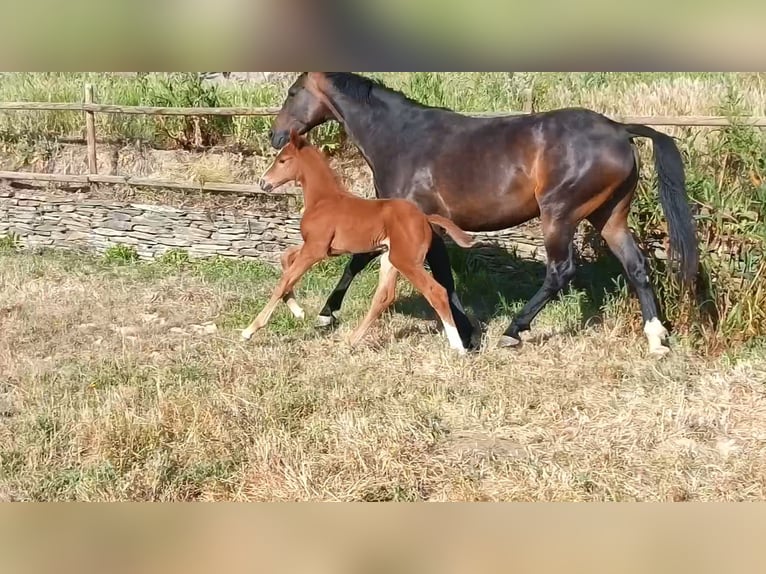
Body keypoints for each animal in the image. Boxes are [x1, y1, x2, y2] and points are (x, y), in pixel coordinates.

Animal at [240, 128, 476, 354]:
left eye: (282, 160)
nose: (263, 182)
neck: (323, 200)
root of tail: (425, 218)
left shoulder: (315, 250)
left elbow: (283, 281)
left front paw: (249, 330)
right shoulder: (317, 247)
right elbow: (285, 257)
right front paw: (298, 311)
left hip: (406, 262)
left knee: (436, 292)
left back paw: (458, 347)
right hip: (390, 259)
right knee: (384, 297)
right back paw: (351, 341)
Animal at [267, 72, 699, 357]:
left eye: (292, 91)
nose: (274, 135)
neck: (401, 138)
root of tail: (620, 130)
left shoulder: (411, 219)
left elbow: (372, 263)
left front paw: (325, 315)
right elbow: (432, 274)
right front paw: (468, 333)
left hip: (559, 214)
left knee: (560, 271)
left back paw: (513, 331)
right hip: (609, 217)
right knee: (636, 265)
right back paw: (656, 339)